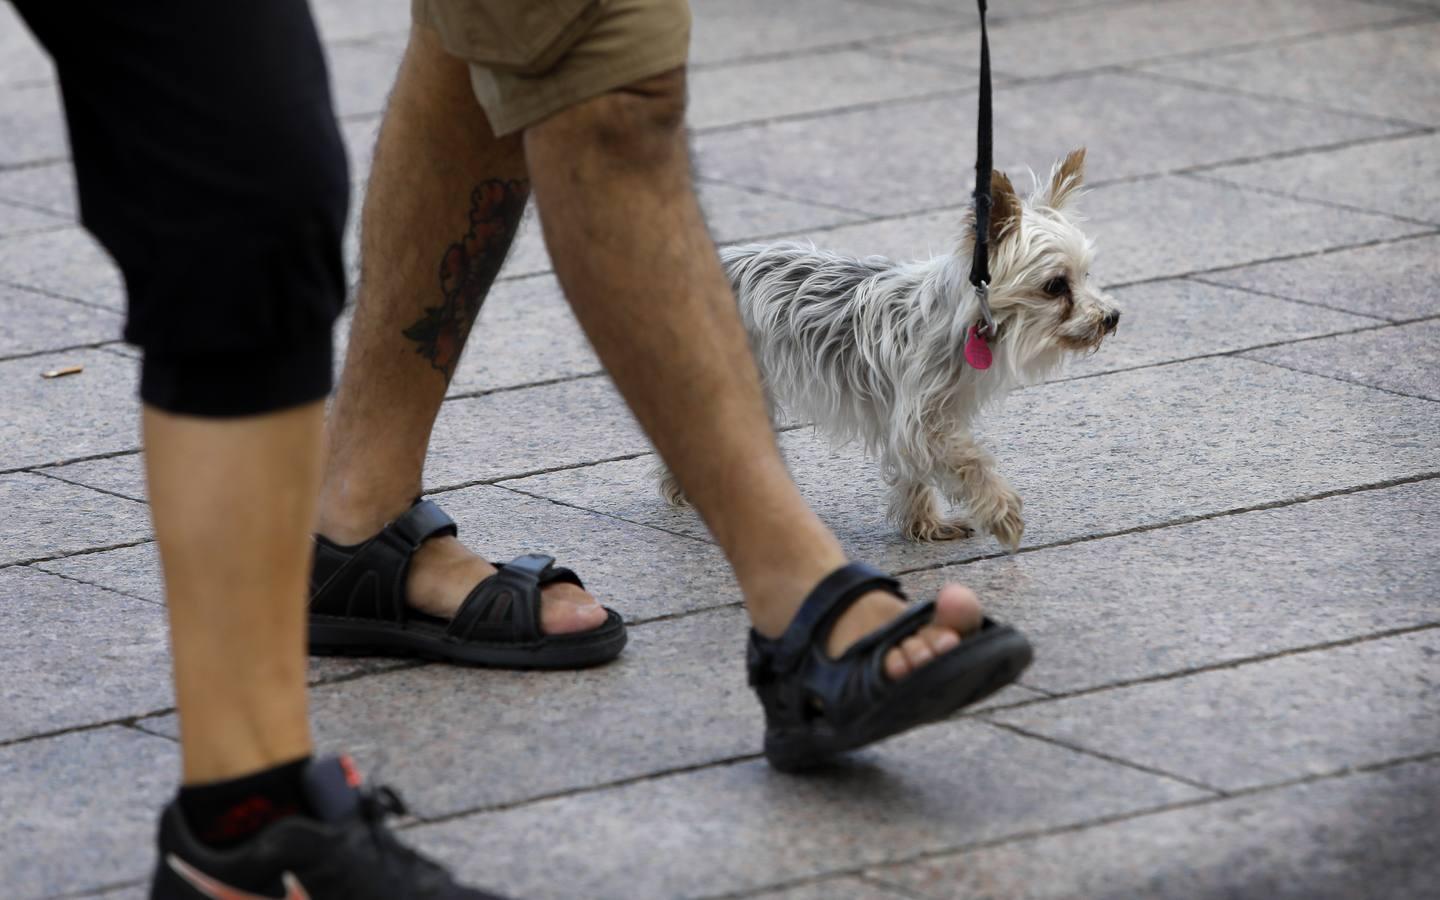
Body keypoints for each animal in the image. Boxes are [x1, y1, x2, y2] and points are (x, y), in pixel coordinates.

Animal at [659, 147, 1117, 547]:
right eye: (1055, 286)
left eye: (1086, 274)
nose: (1111, 318)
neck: (965, 319)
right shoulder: (923, 421)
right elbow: (970, 463)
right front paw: (1002, 512)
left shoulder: (921, 415)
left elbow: (915, 473)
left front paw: (924, 525)